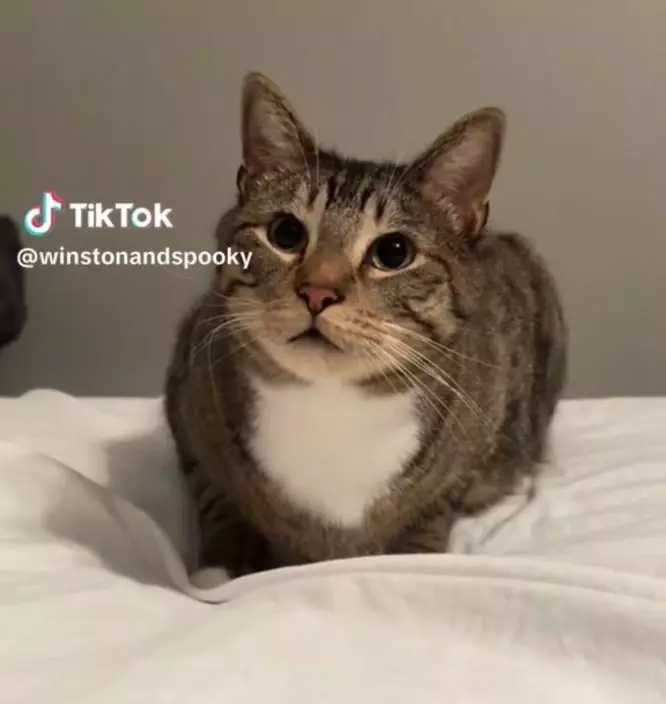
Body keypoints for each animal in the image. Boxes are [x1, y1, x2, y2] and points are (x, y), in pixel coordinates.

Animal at [165, 72, 566, 585]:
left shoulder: (463, 464)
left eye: (393, 252)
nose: (317, 292)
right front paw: (221, 567)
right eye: (285, 233)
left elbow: (433, 511)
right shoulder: (188, 402)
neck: (329, 405)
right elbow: (218, 499)